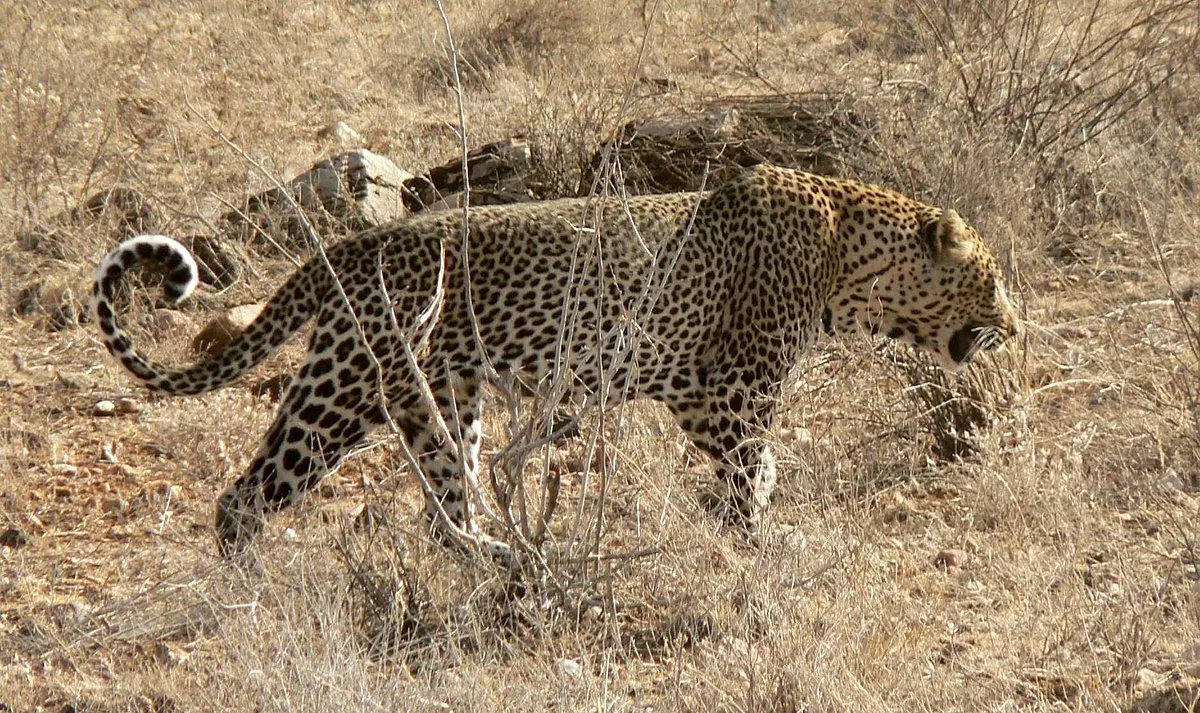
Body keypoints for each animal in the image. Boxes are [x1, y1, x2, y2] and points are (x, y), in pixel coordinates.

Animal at [88, 165, 1022, 561]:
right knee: (244, 496)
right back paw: (252, 590)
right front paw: (758, 543)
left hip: (441, 401)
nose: (1016, 324)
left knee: (448, 502)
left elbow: (753, 471)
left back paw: (492, 559)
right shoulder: (729, 389)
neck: (848, 263)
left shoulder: (701, 395)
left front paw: (743, 528)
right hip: (342, 387)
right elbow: (755, 467)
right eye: (990, 278)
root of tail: (349, 246)